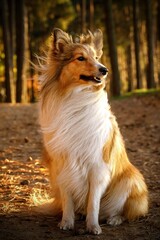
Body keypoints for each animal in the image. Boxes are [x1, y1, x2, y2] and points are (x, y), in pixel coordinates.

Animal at [37, 27, 148, 234]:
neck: (76, 97)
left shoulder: (97, 167)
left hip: (130, 180)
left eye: (96, 57)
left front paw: (93, 226)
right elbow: (68, 199)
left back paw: (114, 219)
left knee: (124, 211)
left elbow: (94, 203)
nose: (104, 70)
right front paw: (67, 222)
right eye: (80, 58)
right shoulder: (62, 164)